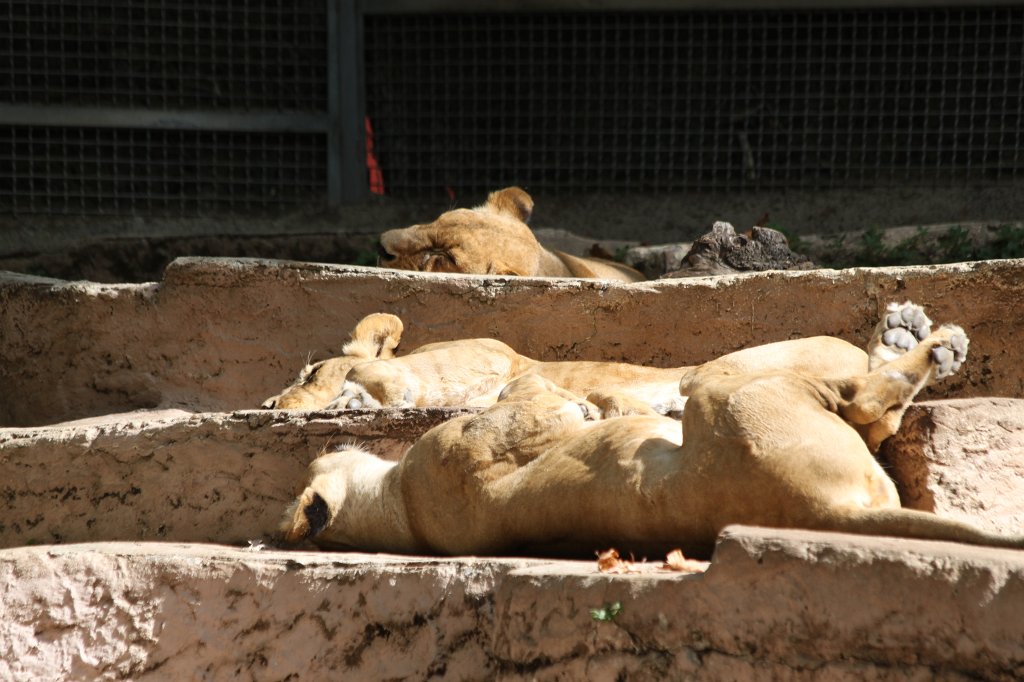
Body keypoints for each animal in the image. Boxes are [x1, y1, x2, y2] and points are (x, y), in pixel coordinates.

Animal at [280, 302, 1024, 558]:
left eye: (310, 368)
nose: (293, 411)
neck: (402, 506)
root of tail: (822, 511)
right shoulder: (469, 440)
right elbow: (542, 406)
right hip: (725, 384)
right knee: (872, 401)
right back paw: (937, 345)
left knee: (874, 393)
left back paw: (910, 330)